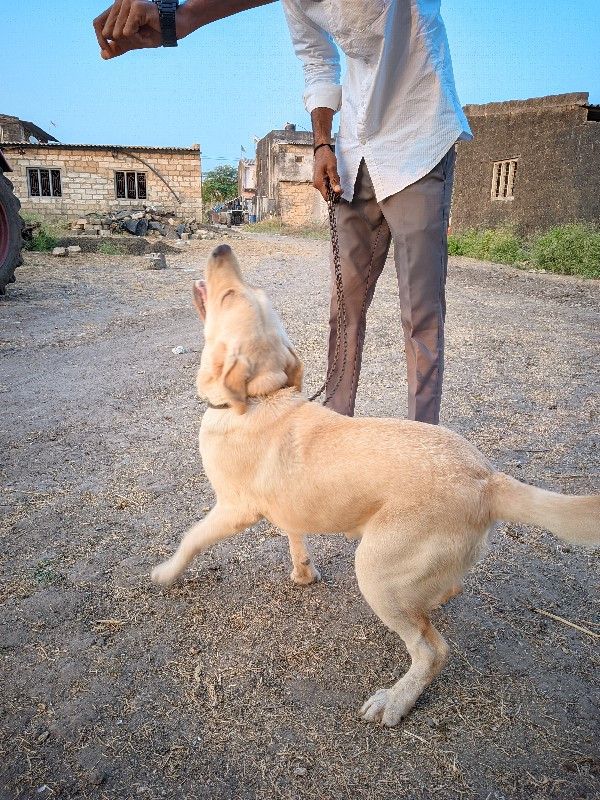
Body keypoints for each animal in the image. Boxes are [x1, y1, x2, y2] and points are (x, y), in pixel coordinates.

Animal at [151, 244, 600, 724]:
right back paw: (432, 603)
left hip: (374, 570)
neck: (258, 398)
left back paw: (396, 699)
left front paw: (166, 573)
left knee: (432, 650)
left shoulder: (233, 510)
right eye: (246, 290)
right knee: (446, 592)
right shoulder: (289, 506)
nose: (222, 249)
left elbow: (191, 538)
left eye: (230, 294)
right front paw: (303, 574)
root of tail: (487, 479)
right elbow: (295, 538)